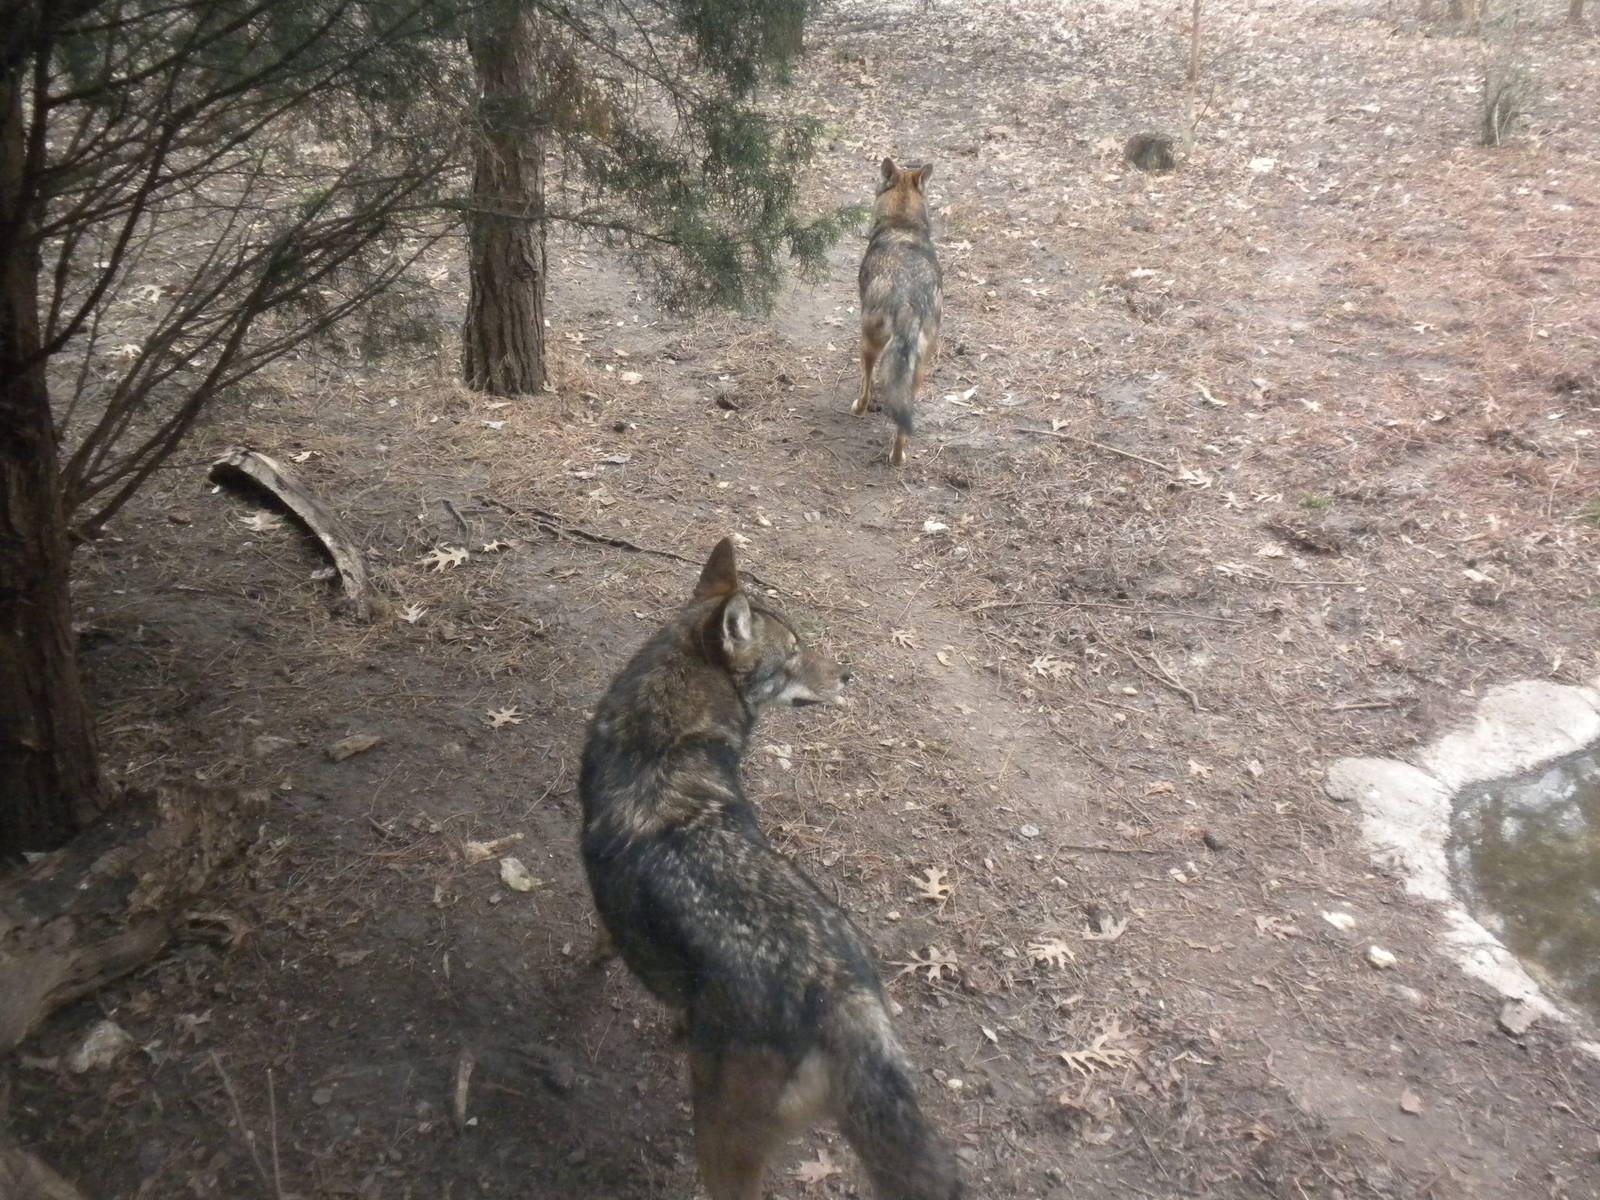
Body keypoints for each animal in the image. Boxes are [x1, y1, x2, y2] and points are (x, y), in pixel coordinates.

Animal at [579, 538, 962, 1200]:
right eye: (793, 653)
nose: (849, 673)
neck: (664, 736)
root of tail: (841, 995)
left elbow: (602, 939)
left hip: (719, 1140)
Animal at [854, 156, 943, 467]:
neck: (902, 225)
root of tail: (908, 302)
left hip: (869, 343)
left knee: (868, 385)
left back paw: (859, 409)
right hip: (919, 368)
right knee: (904, 416)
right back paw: (897, 458)